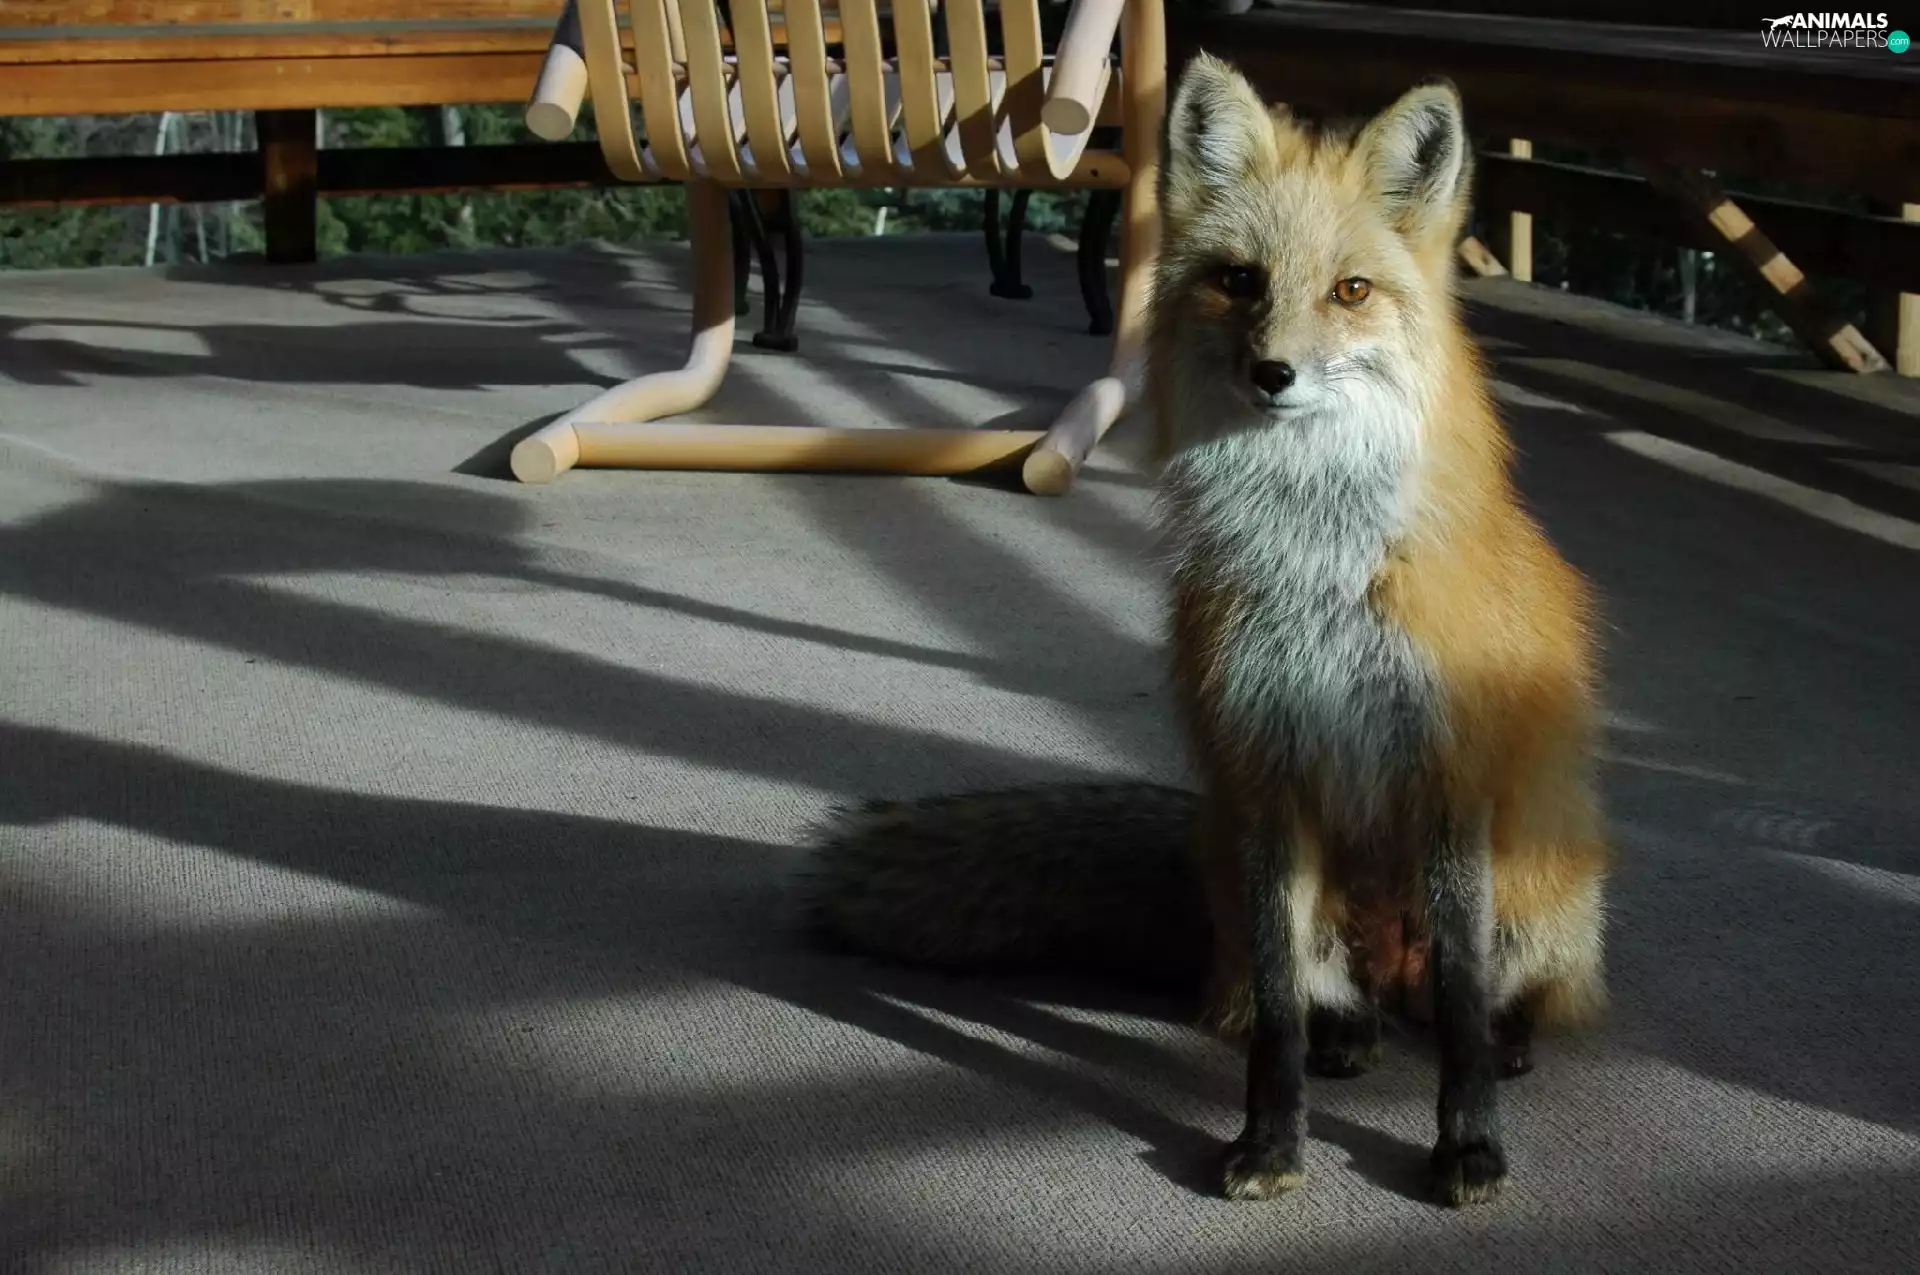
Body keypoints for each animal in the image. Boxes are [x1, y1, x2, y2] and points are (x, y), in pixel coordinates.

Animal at [799, 56, 1610, 1211]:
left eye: (1351, 291)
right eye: (1238, 280)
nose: (1275, 374)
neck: (1317, 565)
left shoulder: (1449, 781)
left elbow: (1457, 1008)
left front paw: (1468, 1146)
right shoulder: (1267, 772)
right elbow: (1271, 1014)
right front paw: (1270, 1141)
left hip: (1539, 884)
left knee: (1488, 998)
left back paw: (1506, 1039)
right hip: (1250, 858)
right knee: (1323, 998)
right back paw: (1350, 1035)